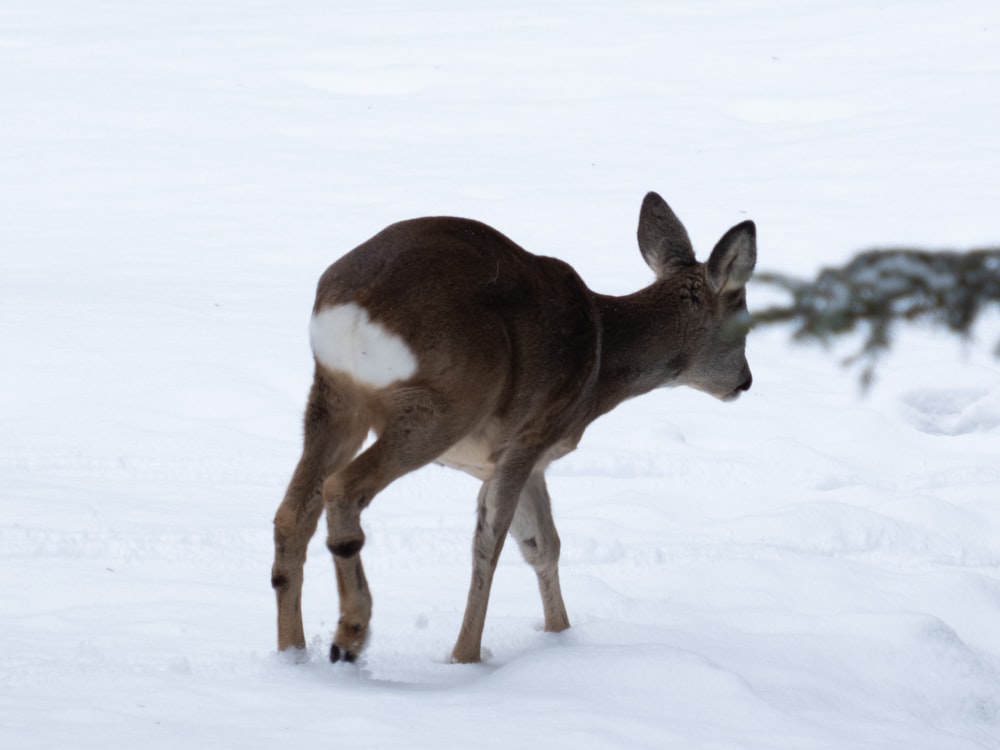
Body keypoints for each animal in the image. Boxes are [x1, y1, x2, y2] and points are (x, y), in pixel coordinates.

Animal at [270, 192, 752, 664]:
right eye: (745, 325)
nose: (745, 382)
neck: (601, 371)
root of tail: (351, 308)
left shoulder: (523, 459)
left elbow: (543, 544)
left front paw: (559, 634)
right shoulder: (531, 435)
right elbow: (491, 544)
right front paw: (466, 656)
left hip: (334, 396)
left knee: (292, 513)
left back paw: (292, 652)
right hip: (444, 403)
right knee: (341, 487)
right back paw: (350, 635)